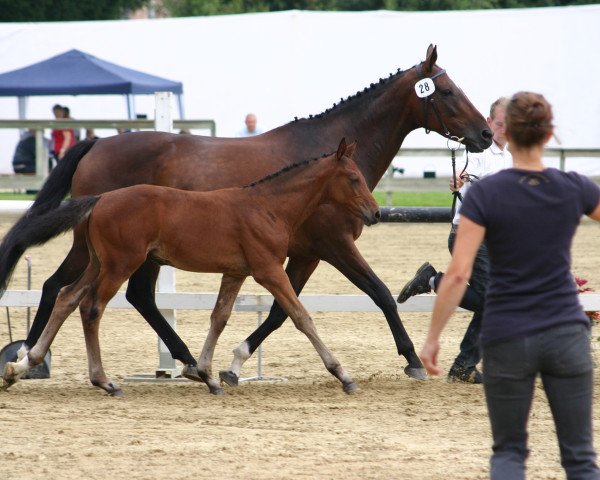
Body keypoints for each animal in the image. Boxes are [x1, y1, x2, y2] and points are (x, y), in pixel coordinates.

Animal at [2, 139, 380, 394]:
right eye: (353, 178)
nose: (375, 213)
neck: (267, 206)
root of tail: (100, 200)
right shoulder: (268, 270)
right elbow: (301, 316)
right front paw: (343, 375)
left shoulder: (236, 272)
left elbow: (219, 317)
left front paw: (209, 375)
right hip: (120, 264)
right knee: (91, 308)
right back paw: (103, 381)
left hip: (99, 263)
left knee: (67, 297)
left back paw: (22, 366)